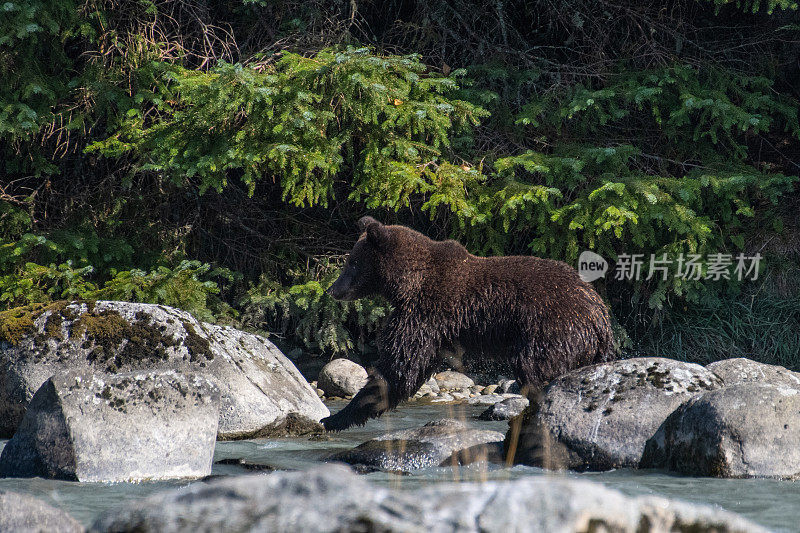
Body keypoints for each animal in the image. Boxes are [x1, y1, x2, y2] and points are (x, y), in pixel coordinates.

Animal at [318, 216, 612, 428]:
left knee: (536, 369)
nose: (332, 289)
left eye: (352, 262)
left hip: (551, 329)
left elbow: (399, 367)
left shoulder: (425, 313)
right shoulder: (433, 326)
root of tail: (599, 314)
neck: (406, 283)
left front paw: (335, 417)